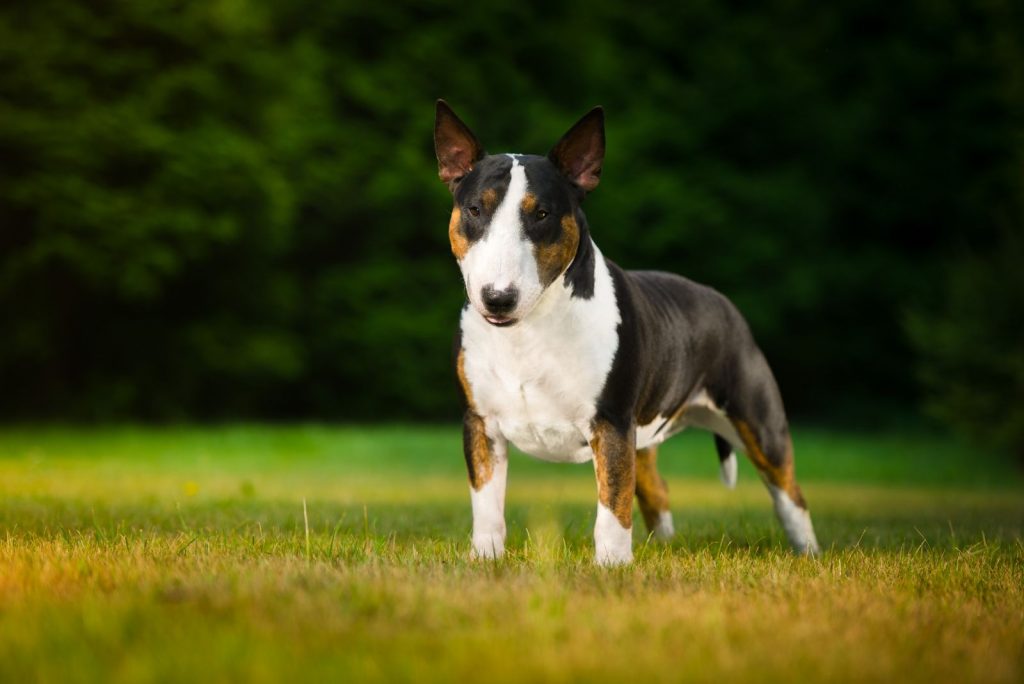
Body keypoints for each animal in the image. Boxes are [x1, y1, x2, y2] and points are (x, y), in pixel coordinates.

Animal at [436, 98, 819, 565]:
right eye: (475, 209)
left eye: (542, 213)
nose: (497, 298)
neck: (528, 331)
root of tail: (721, 301)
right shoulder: (481, 423)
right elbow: (487, 501)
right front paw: (485, 559)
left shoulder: (612, 422)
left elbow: (613, 502)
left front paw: (611, 566)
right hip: (648, 433)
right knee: (659, 490)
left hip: (757, 418)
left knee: (789, 492)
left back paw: (809, 553)